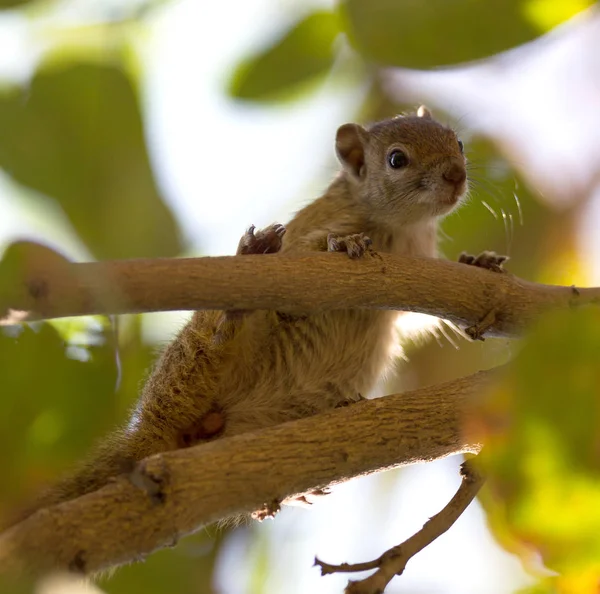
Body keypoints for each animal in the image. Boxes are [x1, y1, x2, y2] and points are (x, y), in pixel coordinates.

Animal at [16, 105, 478, 520]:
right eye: (396, 159)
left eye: (456, 142)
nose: (456, 175)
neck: (401, 230)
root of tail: (152, 434)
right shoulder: (309, 235)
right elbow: (308, 256)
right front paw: (341, 244)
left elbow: (420, 316)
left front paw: (481, 264)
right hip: (194, 360)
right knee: (213, 346)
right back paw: (232, 314)